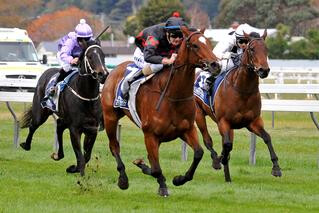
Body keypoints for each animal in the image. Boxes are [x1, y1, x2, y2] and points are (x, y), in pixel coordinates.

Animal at [19, 39, 109, 175]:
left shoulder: (92, 129)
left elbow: (86, 156)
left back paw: (58, 155)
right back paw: (26, 145)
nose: (103, 74)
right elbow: (80, 155)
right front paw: (77, 171)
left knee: (59, 126)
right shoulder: (75, 129)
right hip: (41, 112)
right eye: (89, 56)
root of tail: (46, 71)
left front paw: (74, 168)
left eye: (103, 55)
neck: (86, 96)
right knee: (33, 125)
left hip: (64, 118)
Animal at [102, 26, 220, 196]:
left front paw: (179, 179)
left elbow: (198, 153)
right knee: (114, 146)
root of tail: (114, 70)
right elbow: (156, 169)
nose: (216, 65)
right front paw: (162, 186)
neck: (173, 96)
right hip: (110, 118)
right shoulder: (150, 134)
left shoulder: (186, 129)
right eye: (195, 45)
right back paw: (123, 179)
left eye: (209, 43)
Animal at [195, 30, 282, 182]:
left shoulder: (253, 122)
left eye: (266, 49)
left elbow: (267, 137)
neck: (243, 90)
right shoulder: (223, 121)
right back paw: (216, 161)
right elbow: (226, 145)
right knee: (208, 140)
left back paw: (227, 177)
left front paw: (276, 168)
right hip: (199, 114)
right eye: (252, 49)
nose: (264, 70)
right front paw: (221, 159)